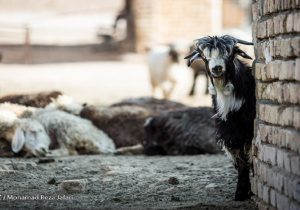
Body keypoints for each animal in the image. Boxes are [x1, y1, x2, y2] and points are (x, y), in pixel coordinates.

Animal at [185, 35, 255, 201]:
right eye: (204, 56)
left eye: (230, 53)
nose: (216, 68)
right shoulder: (229, 132)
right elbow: (240, 161)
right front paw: (241, 192)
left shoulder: (247, 131)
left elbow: (248, 157)